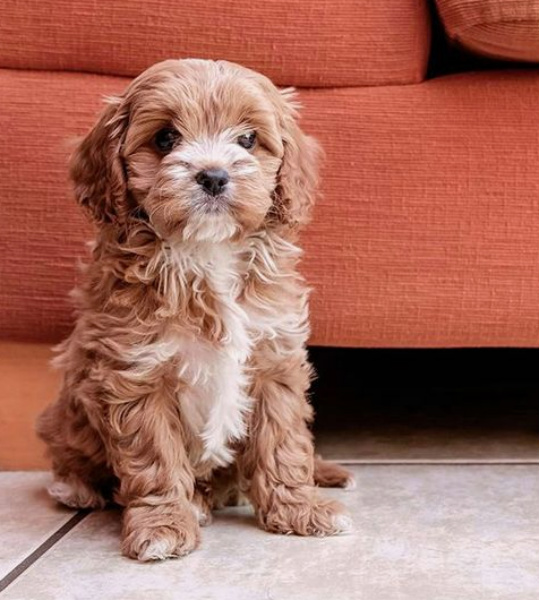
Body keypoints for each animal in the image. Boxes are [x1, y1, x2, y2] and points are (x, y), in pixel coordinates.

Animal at [39, 58, 358, 560]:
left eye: (247, 139)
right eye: (165, 138)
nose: (213, 176)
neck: (208, 251)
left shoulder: (274, 357)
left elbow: (284, 441)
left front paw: (300, 508)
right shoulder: (136, 371)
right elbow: (155, 458)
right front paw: (163, 525)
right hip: (65, 419)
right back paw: (82, 490)